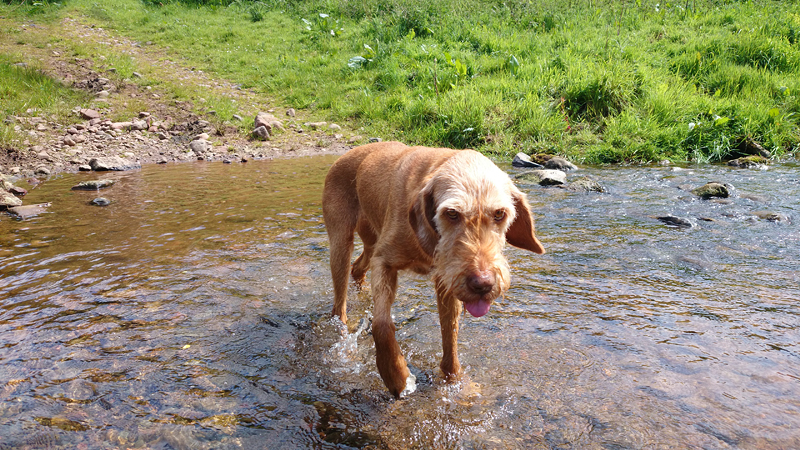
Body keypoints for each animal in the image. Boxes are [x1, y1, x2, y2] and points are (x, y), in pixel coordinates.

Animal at [322, 142, 545, 398]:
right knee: (339, 305)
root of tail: (349, 153)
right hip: (341, 243)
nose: (483, 284)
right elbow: (382, 325)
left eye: (499, 213)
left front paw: (456, 383)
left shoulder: (446, 279)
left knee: (357, 268)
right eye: (452, 213)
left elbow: (450, 336)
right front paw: (396, 375)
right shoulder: (384, 261)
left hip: (370, 241)